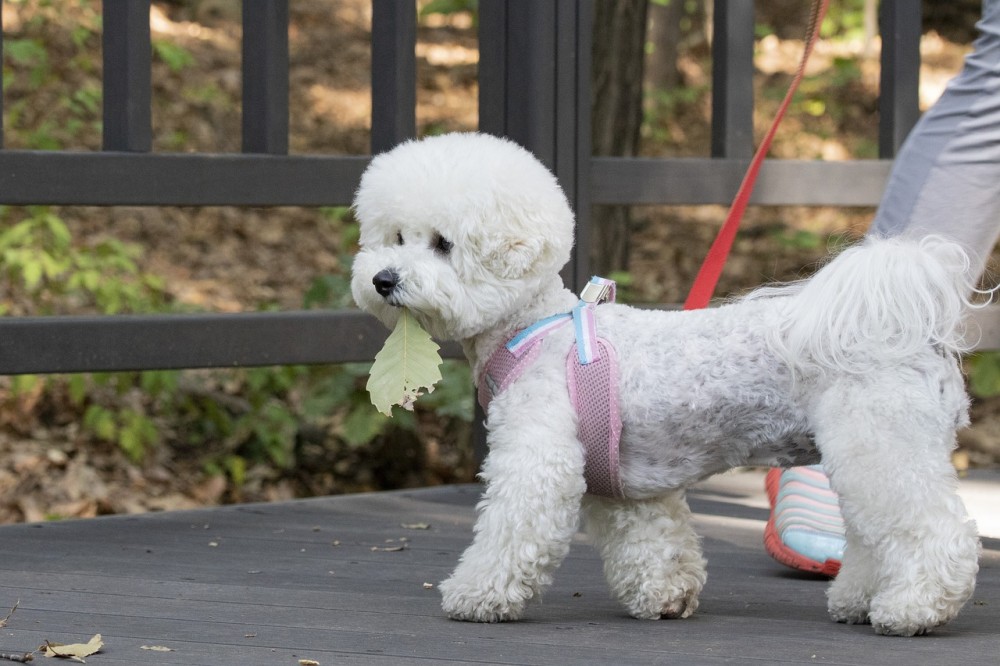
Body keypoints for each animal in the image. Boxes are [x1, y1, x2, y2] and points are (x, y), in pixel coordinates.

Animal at [352, 130, 984, 632]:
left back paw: (915, 608)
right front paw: (665, 597)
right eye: (394, 237)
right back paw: (860, 599)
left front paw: (475, 595)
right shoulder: (627, 486)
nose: (383, 279)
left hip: (883, 445)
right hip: (864, 452)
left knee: (936, 531)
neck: (532, 327)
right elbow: (652, 542)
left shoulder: (538, 461)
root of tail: (912, 333)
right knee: (873, 535)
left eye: (442, 244)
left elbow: (511, 530)